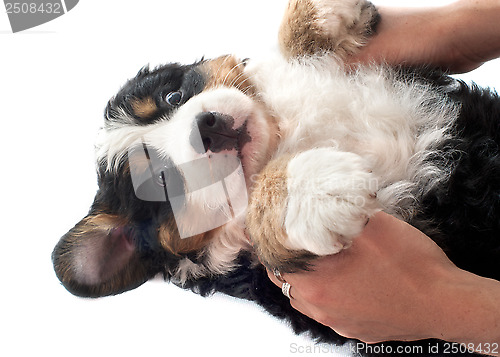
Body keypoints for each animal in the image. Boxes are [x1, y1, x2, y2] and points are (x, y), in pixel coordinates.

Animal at [51, 0, 500, 354]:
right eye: (163, 181)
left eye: (173, 96)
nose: (207, 128)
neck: (282, 136)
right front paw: (314, 190)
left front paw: (319, 15)